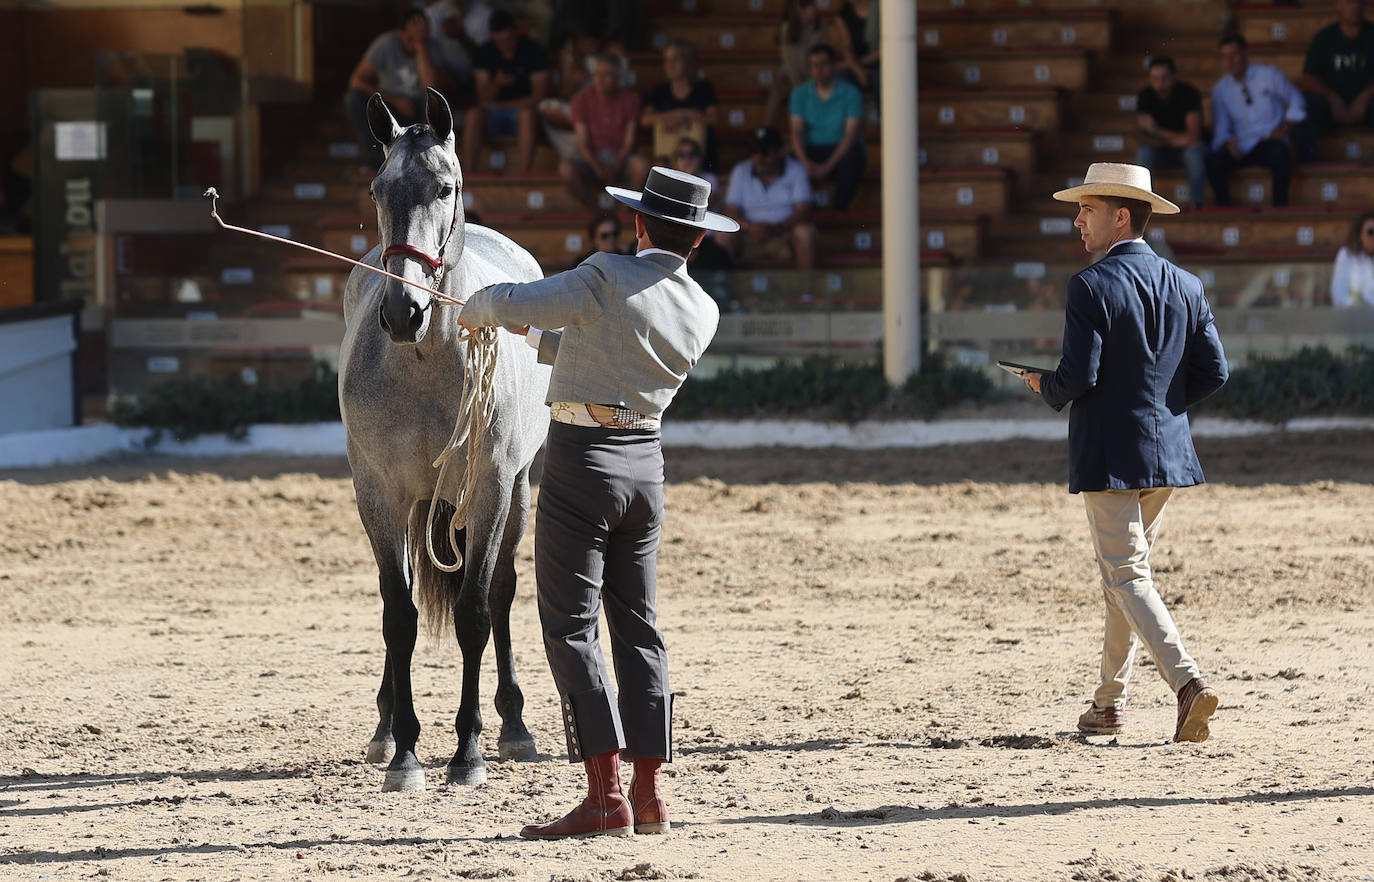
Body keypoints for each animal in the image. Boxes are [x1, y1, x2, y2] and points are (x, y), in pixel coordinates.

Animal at [338, 89, 552, 791]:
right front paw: (404, 751)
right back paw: (384, 727)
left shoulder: (488, 491)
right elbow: (397, 616)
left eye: (445, 187)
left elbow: (475, 612)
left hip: (518, 491)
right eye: (378, 188)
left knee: (504, 590)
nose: (402, 311)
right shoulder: (380, 495)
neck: (425, 364)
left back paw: (513, 725)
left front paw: (468, 751)